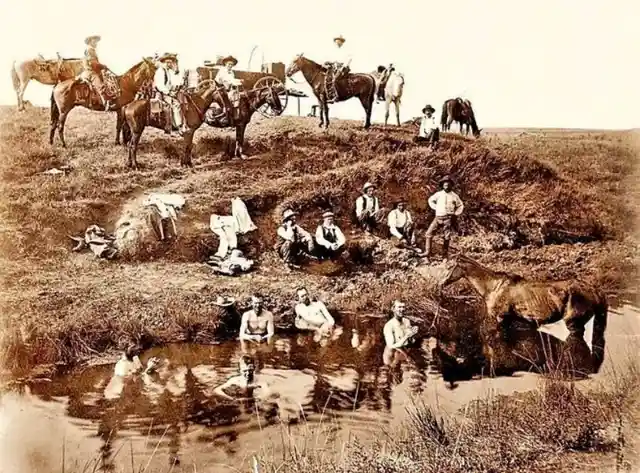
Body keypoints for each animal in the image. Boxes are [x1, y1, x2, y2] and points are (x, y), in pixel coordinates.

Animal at [120, 84, 280, 169]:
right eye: (222, 93)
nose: (278, 109)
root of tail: (128, 105)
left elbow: (189, 147)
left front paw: (188, 163)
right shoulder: (189, 132)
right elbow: (187, 147)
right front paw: (185, 164)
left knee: (130, 145)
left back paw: (129, 164)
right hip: (137, 131)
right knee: (133, 146)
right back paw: (135, 165)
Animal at [438, 254, 608, 376]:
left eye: (449, 267)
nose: (440, 283)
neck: (493, 287)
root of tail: (595, 289)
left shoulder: (497, 317)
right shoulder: (508, 321)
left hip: (573, 322)